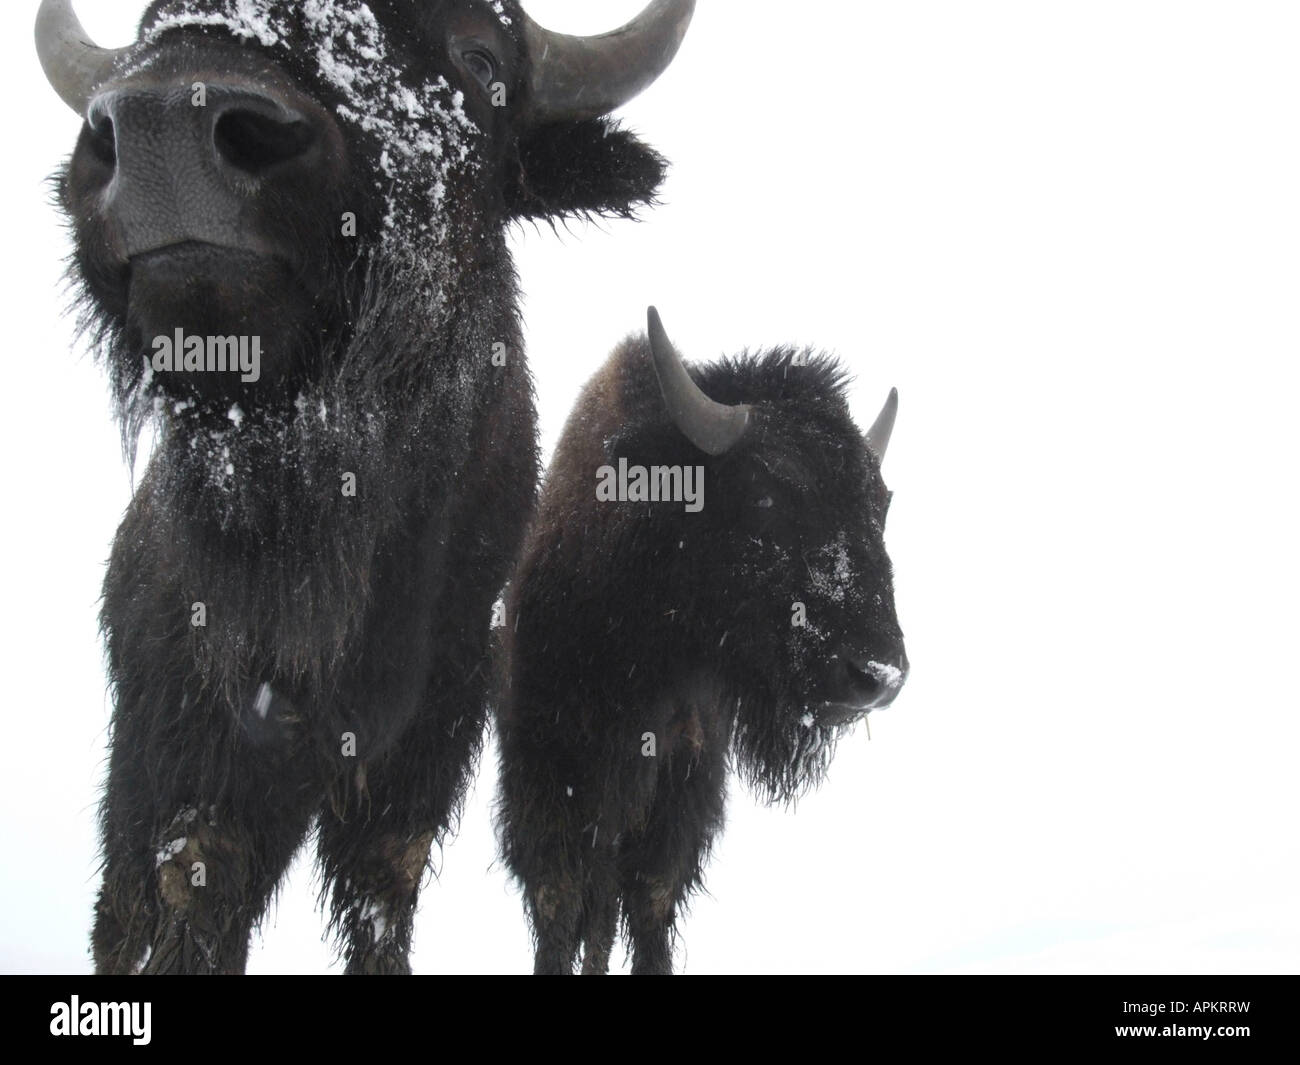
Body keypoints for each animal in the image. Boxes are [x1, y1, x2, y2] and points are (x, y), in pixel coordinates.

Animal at [37, 0, 694, 974]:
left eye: (480, 61)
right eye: (154, 21)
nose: (165, 123)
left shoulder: (419, 756)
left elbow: (381, 895)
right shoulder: (193, 758)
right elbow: (192, 898)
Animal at [497, 308, 908, 974]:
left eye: (883, 502)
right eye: (766, 492)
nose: (876, 676)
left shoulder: (678, 806)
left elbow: (649, 909)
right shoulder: (553, 788)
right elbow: (561, 908)